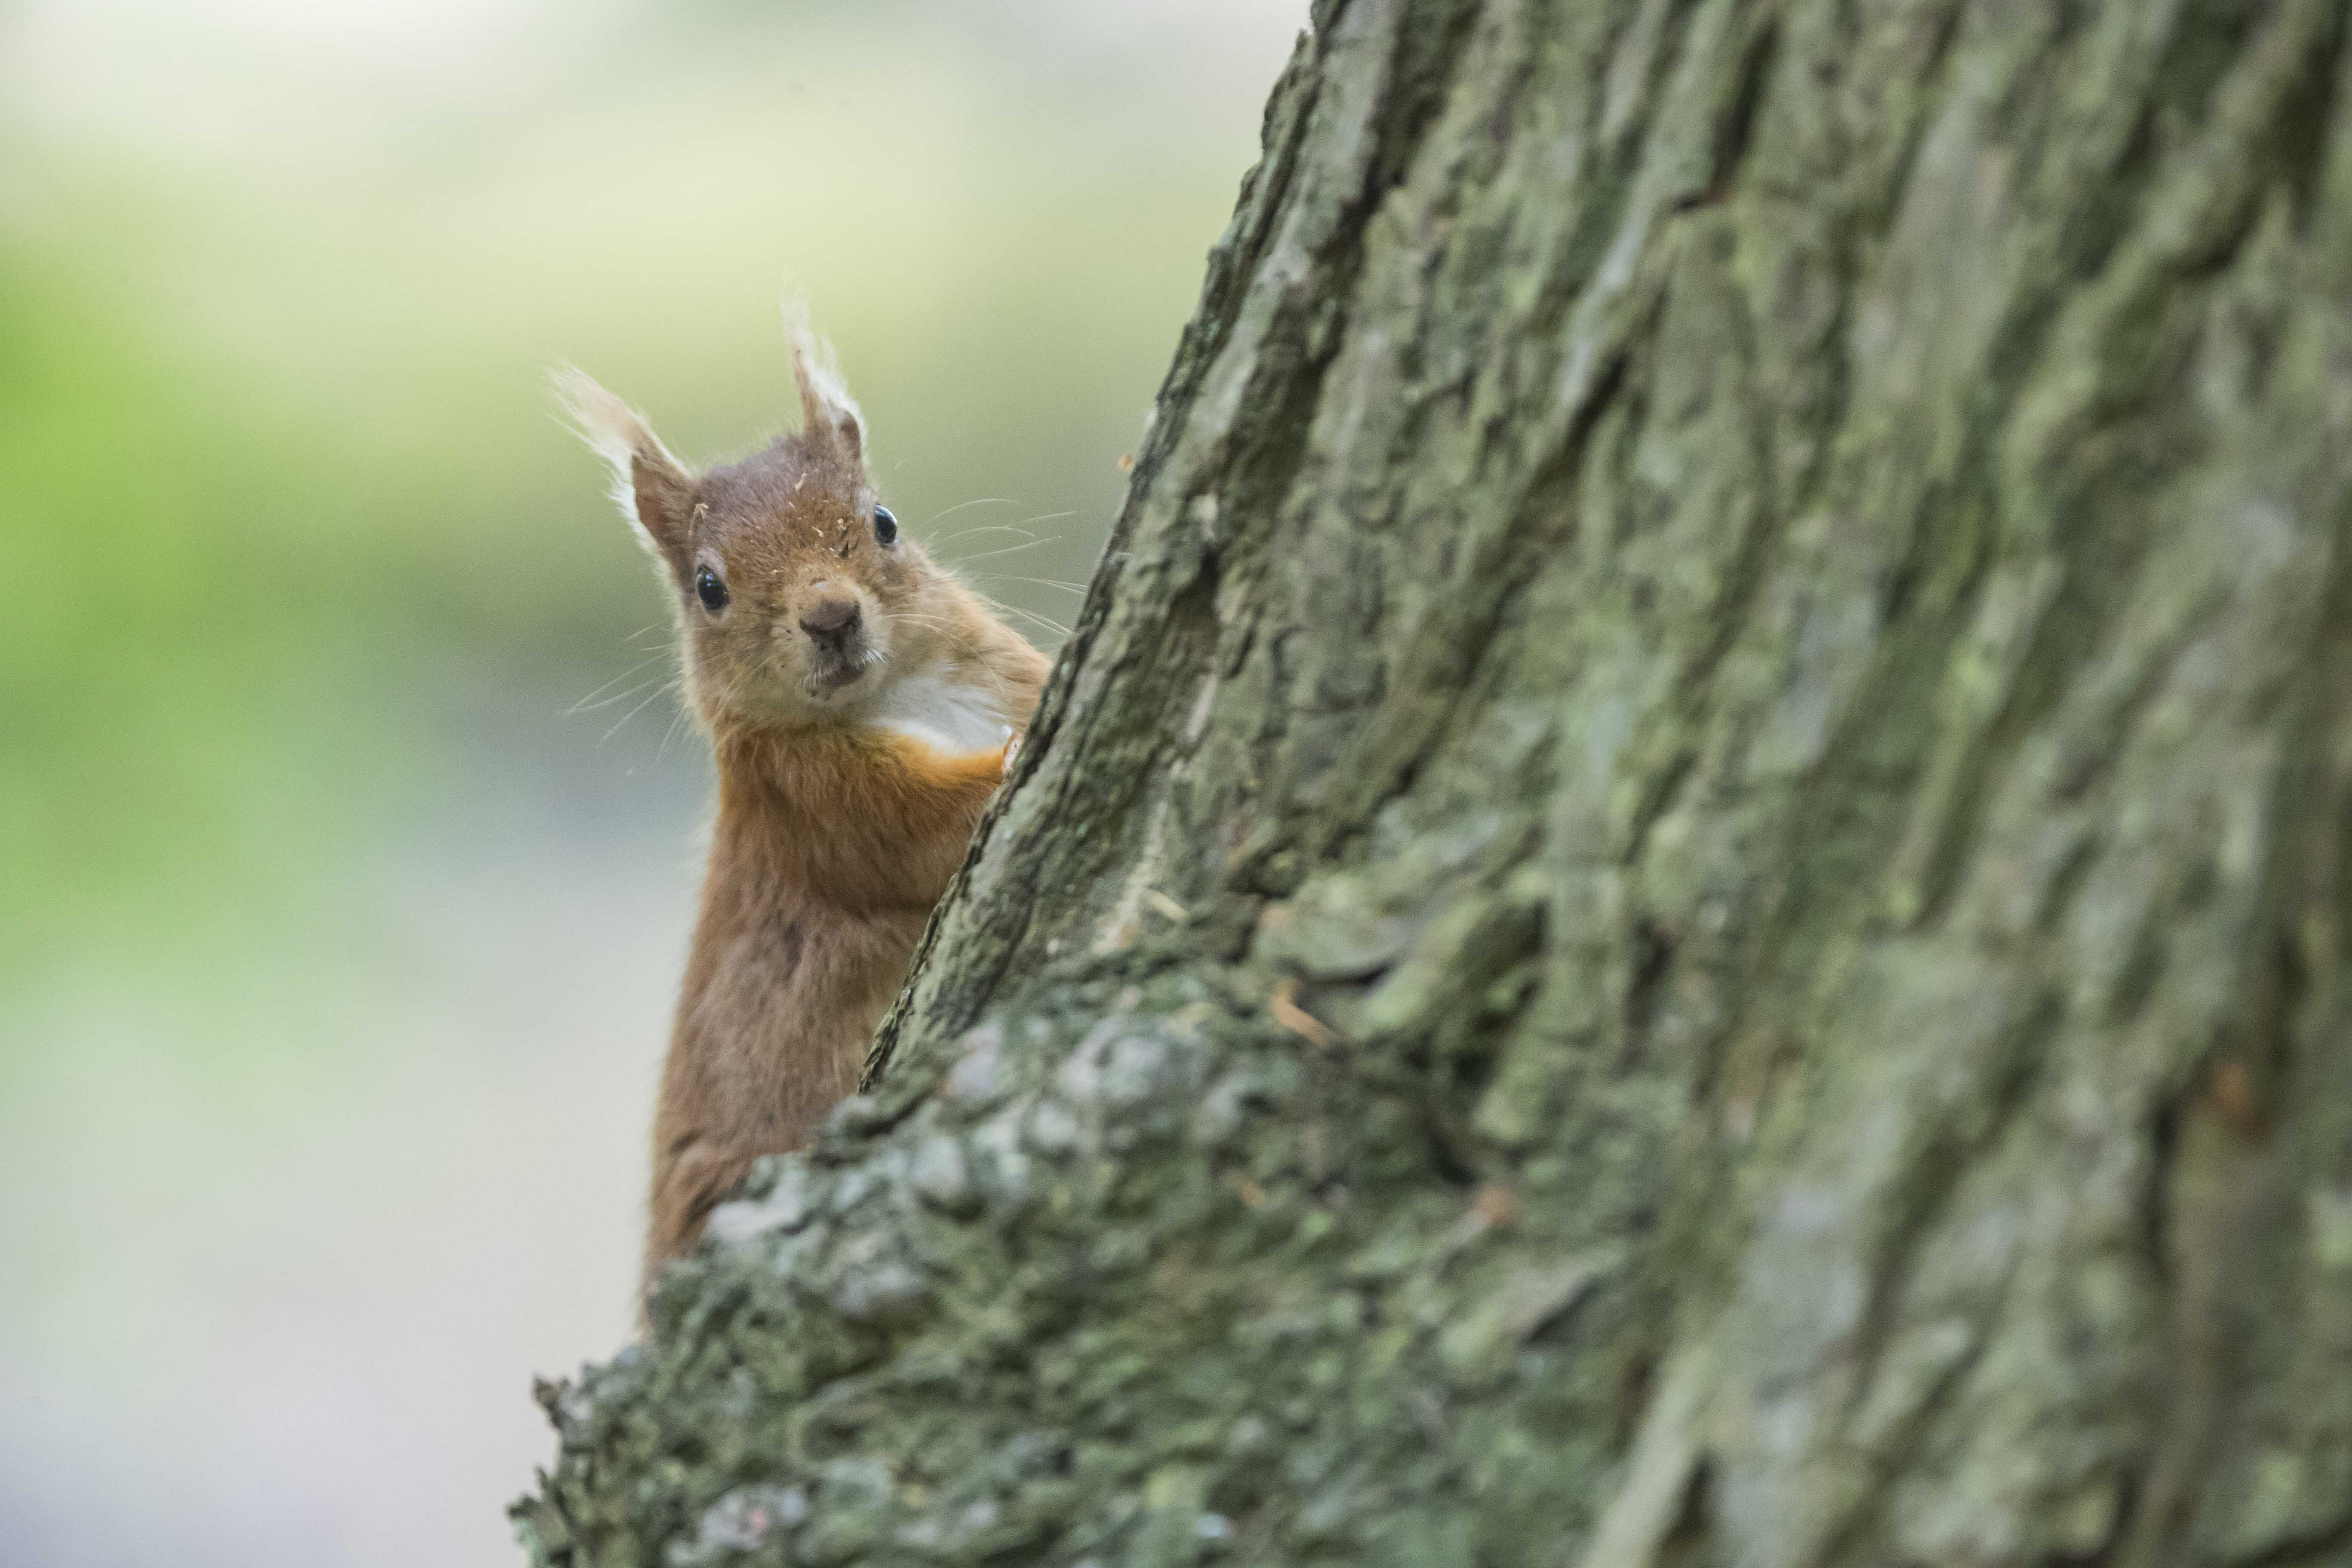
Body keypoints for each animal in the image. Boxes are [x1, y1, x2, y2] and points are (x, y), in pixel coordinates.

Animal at [555, 310, 1044, 1298]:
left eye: (883, 523)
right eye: (710, 587)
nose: (831, 617)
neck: (901, 693)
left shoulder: (1001, 670)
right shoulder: (813, 804)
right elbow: (920, 834)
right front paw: (1008, 761)